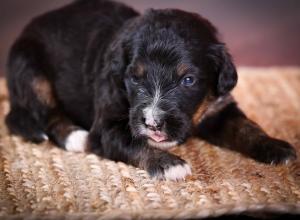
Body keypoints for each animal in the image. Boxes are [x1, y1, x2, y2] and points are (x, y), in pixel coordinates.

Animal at [5, 0, 296, 180]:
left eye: (188, 80)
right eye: (135, 78)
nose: (153, 123)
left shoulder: (219, 107)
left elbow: (246, 127)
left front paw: (275, 147)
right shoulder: (108, 126)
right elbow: (133, 141)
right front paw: (169, 164)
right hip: (29, 68)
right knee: (48, 114)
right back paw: (75, 136)